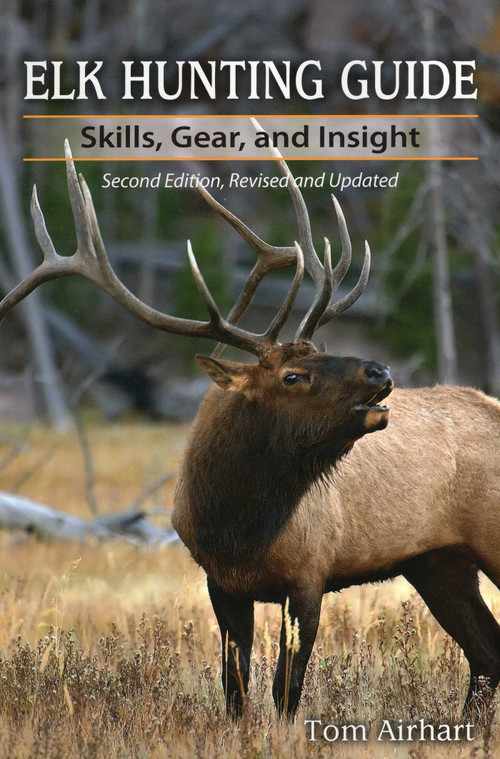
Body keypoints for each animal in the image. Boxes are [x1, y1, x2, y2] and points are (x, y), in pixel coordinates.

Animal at [0, 139, 499, 724]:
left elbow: (287, 689)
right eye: (294, 375)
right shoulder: (221, 582)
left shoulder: (309, 576)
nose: (381, 371)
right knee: (486, 653)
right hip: (438, 561)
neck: (240, 525)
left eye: (323, 350)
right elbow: (234, 687)